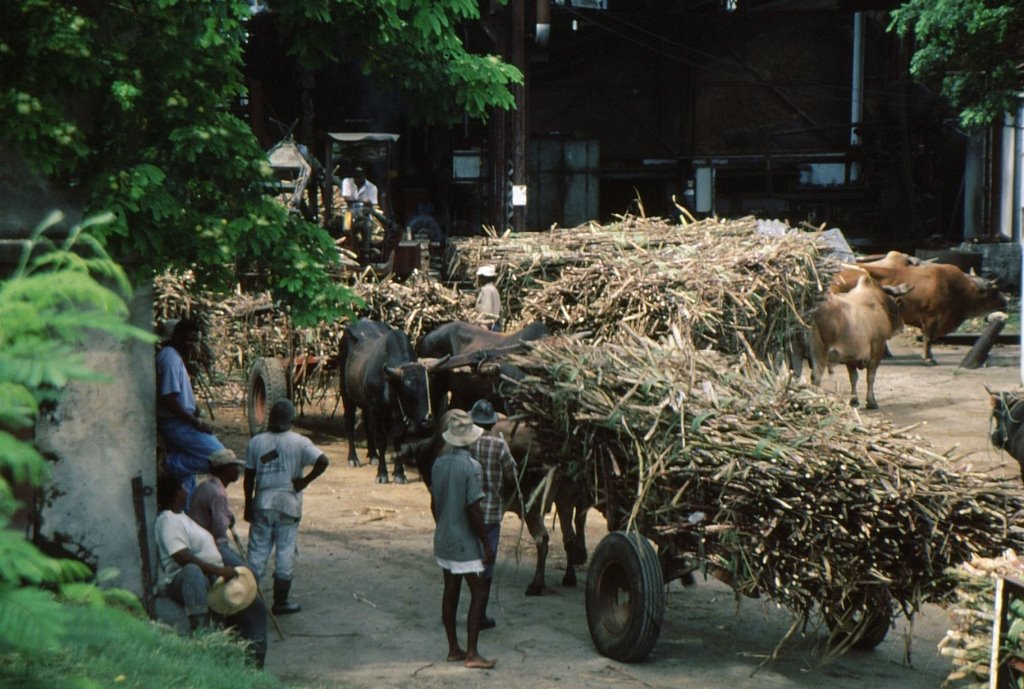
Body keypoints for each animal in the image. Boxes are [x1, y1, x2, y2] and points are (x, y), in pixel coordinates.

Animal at [806, 272, 913, 409]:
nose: (902, 327)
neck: (879, 301)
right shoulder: (877, 349)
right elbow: (870, 377)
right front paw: (871, 401)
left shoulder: (850, 356)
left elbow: (853, 378)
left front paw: (854, 400)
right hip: (821, 352)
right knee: (817, 376)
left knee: (814, 376)